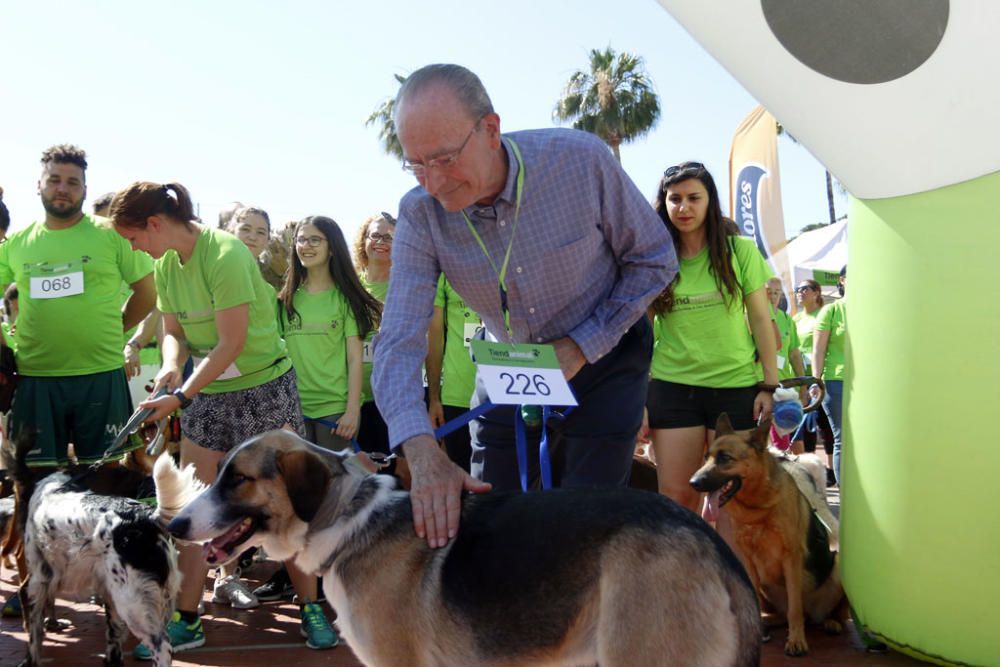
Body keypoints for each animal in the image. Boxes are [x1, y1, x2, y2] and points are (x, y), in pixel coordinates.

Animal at [16, 452, 200, 664]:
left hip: (133, 605)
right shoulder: (106, 590)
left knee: (162, 647)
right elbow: (113, 636)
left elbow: (34, 633)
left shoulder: (40, 578)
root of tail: (146, 517)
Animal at [692, 418, 848, 656]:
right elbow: (755, 598)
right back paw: (770, 622)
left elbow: (795, 608)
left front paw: (796, 641)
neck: (758, 509)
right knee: (784, 614)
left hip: (838, 564)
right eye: (706, 457)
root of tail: (813, 615)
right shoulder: (748, 560)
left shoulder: (791, 558)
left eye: (725, 458)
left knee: (827, 612)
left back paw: (832, 622)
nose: (693, 482)